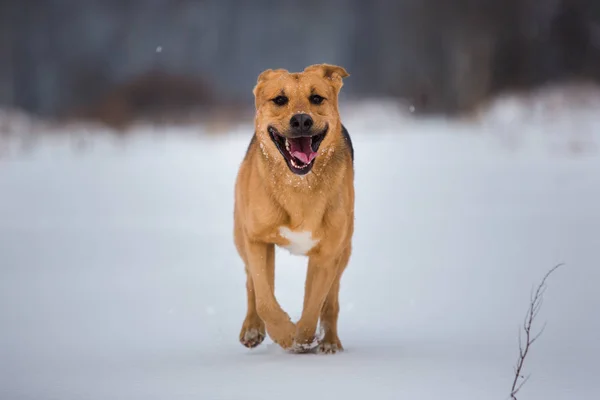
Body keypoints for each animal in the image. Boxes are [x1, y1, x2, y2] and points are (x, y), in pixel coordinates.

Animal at [232, 64, 354, 354]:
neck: (299, 186)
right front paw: (285, 334)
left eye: (317, 98)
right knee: (252, 283)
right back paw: (252, 328)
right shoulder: (256, 240)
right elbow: (265, 299)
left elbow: (314, 305)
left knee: (331, 300)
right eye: (279, 99)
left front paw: (302, 338)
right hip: (241, 236)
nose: (301, 121)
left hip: (344, 249)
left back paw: (329, 341)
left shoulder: (327, 254)